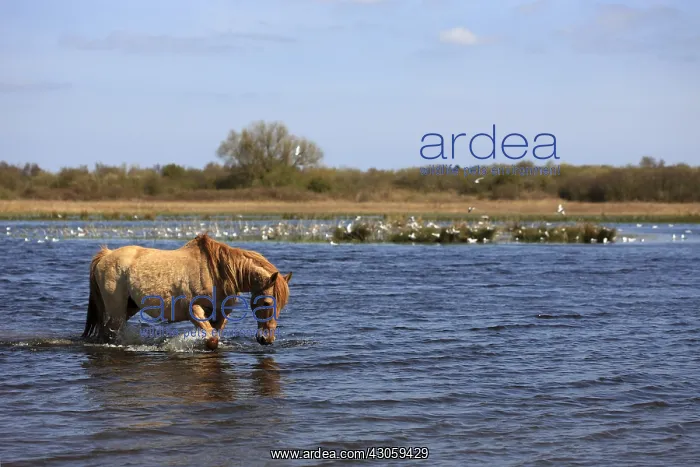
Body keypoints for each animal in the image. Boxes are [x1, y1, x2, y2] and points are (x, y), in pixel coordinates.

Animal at [82, 233, 292, 349]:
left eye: (282, 306)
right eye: (266, 302)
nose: (267, 339)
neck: (217, 272)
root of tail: (106, 255)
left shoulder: (220, 315)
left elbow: (215, 337)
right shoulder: (195, 311)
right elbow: (211, 339)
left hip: (129, 308)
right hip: (116, 310)